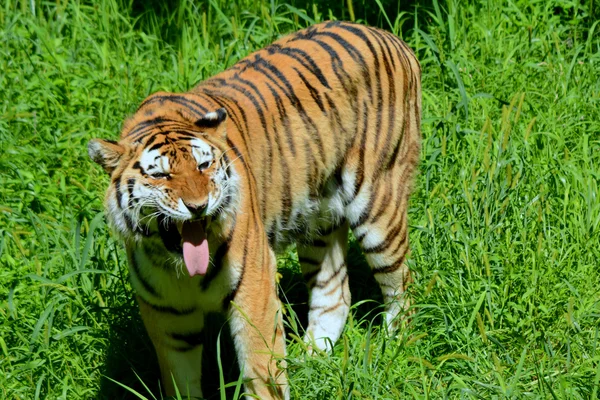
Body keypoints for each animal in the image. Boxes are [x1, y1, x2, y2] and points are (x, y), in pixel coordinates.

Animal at [88, 21, 422, 400]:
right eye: (160, 175)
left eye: (203, 165)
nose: (198, 206)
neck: (178, 266)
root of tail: (390, 36)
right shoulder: (167, 317)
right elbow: (180, 382)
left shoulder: (254, 291)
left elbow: (262, 373)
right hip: (318, 221)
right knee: (335, 293)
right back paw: (309, 360)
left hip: (379, 207)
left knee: (401, 284)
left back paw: (396, 346)